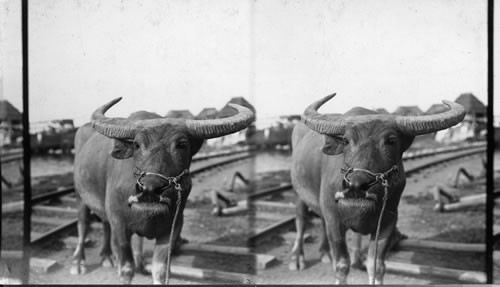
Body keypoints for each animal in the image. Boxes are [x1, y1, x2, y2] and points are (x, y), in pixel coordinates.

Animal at [72, 98, 254, 284]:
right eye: (136, 144)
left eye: (182, 145)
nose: (150, 189)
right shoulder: (119, 225)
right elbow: (127, 269)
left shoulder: (173, 228)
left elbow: (160, 270)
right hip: (80, 196)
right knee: (83, 224)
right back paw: (79, 263)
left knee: (103, 223)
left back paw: (107, 257)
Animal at [290, 93, 464, 284]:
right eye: (346, 140)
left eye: (391, 141)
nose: (356, 185)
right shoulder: (334, 219)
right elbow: (342, 265)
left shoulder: (388, 222)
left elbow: (376, 266)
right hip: (298, 193)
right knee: (301, 220)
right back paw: (297, 258)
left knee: (320, 220)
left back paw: (324, 253)